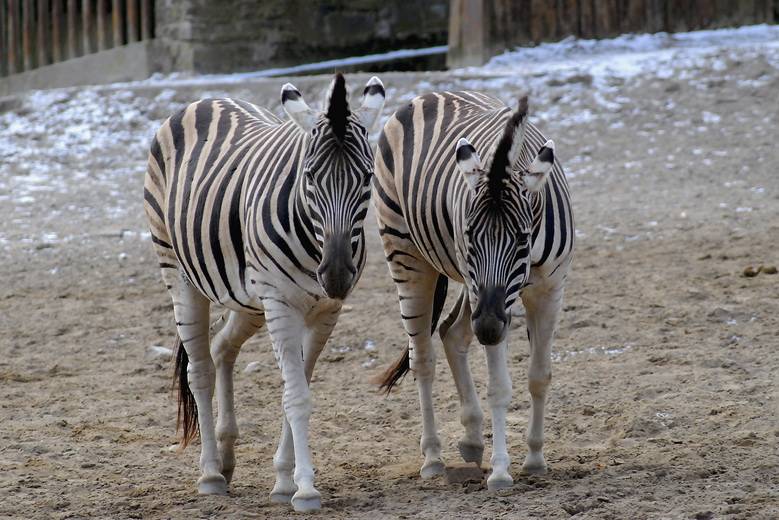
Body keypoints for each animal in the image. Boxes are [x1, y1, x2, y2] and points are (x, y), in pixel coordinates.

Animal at [143, 73, 385, 512]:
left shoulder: (325, 312)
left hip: (249, 301)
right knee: (199, 370)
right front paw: (305, 489)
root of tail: (207, 99)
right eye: (310, 177)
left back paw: (226, 458)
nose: (336, 274)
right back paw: (210, 474)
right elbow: (297, 397)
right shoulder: (282, 304)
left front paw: (284, 481)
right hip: (180, 276)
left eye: (367, 178)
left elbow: (298, 388)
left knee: (221, 347)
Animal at [373, 91, 573, 490]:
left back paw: (471, 440)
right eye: (469, 238)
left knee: (452, 333)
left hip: (473, 293)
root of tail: (429, 94)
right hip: (408, 257)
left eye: (522, 239)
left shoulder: (549, 288)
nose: (490, 330)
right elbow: (499, 387)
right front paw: (500, 471)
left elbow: (539, 376)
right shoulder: (487, 294)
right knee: (422, 358)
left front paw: (535, 457)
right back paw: (433, 459)